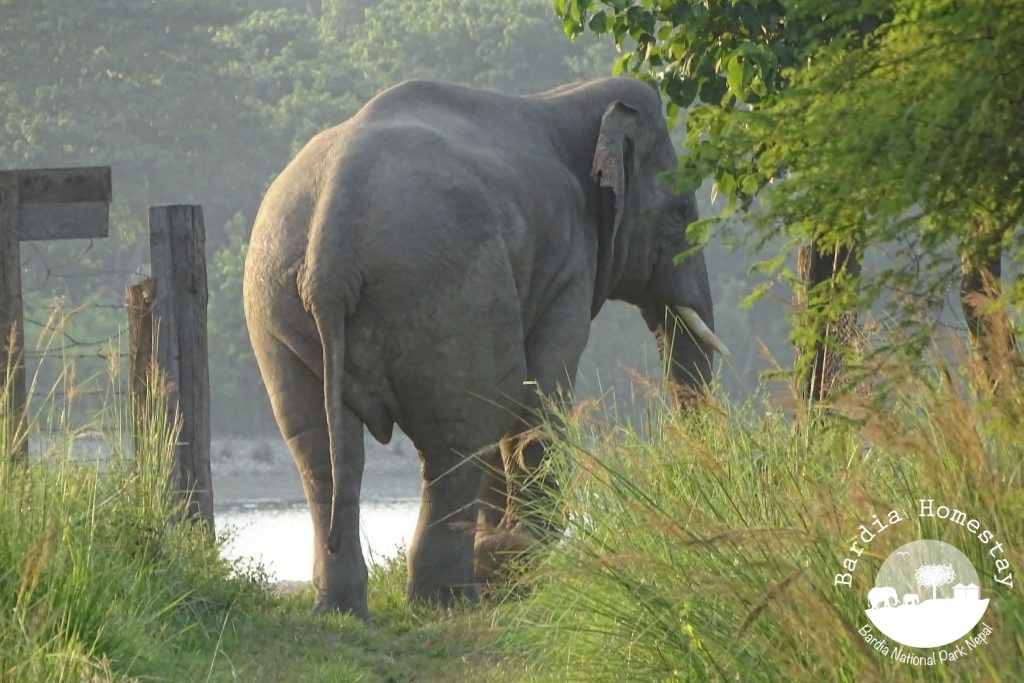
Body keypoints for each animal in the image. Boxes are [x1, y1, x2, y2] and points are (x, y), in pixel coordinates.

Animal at [243, 77, 727, 618]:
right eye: (680, 214)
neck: (568, 101)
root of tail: (332, 241)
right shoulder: (566, 264)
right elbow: (541, 385)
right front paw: (513, 558)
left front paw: (507, 556)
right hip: (449, 292)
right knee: (458, 436)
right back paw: (452, 600)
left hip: (279, 309)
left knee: (321, 449)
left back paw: (346, 610)